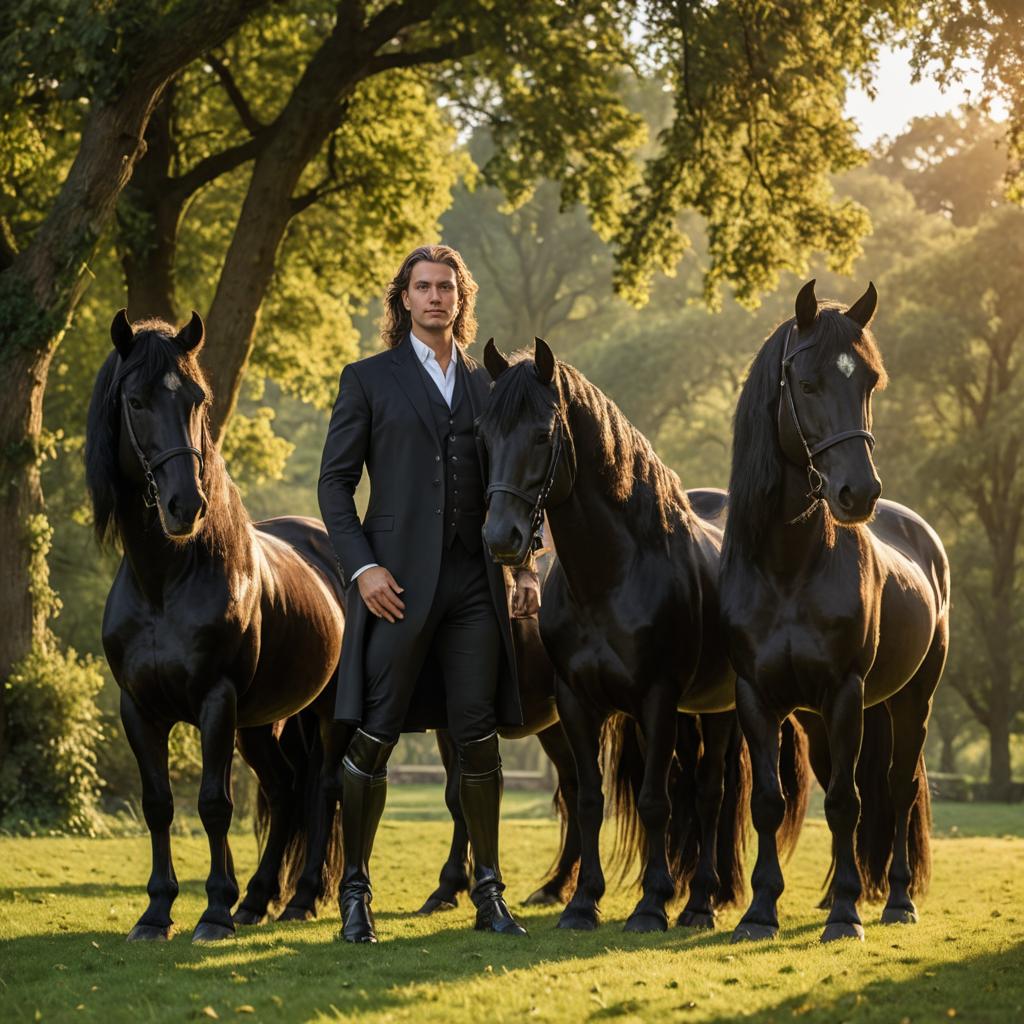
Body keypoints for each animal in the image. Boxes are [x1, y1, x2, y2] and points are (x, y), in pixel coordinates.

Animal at [86, 311, 348, 942]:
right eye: (135, 400)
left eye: (197, 399)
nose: (186, 506)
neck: (166, 583)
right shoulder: (139, 708)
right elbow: (159, 803)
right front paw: (157, 913)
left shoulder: (215, 701)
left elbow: (213, 804)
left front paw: (212, 913)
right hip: (263, 724)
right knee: (285, 789)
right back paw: (257, 900)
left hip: (326, 712)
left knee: (323, 789)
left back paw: (300, 898)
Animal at [477, 344, 806, 937]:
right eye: (484, 435)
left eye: (542, 434)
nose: (501, 538)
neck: (612, 576)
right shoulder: (575, 703)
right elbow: (588, 800)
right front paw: (582, 904)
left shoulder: (656, 698)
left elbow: (656, 802)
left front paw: (651, 905)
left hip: (721, 711)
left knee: (711, 795)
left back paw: (700, 902)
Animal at [724, 280, 946, 942]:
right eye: (808, 383)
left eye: (870, 381)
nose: (859, 493)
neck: (788, 568)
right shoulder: (758, 698)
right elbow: (769, 803)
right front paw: (760, 912)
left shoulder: (847, 692)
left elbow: (848, 803)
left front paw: (848, 914)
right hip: (822, 720)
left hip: (911, 701)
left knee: (896, 790)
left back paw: (896, 899)